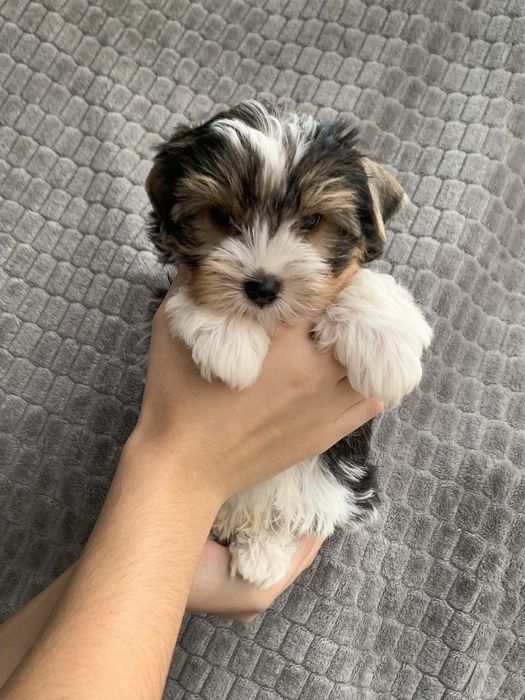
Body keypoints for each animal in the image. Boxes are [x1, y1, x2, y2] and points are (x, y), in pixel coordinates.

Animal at [146, 101, 432, 587]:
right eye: (220, 218)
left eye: (313, 221)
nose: (261, 286)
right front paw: (228, 334)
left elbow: (362, 284)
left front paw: (385, 343)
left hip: (335, 484)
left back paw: (263, 551)